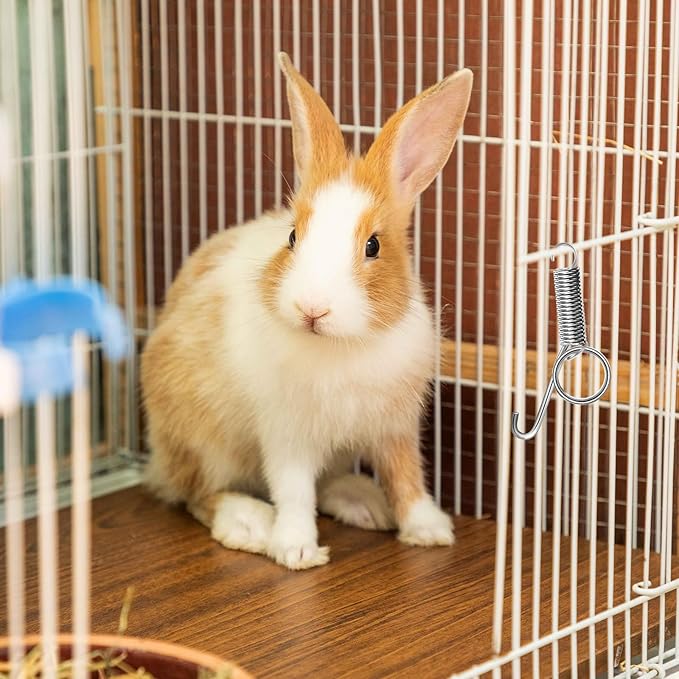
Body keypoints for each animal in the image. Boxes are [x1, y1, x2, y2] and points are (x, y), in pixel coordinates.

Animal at [141, 52, 473, 570]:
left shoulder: (393, 428)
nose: (312, 308)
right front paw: (296, 550)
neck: (342, 344)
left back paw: (365, 503)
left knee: (328, 482)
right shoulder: (287, 434)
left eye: (373, 246)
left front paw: (430, 532)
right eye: (293, 237)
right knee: (198, 494)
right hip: (202, 441)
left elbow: (406, 476)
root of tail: (157, 458)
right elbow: (293, 491)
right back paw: (250, 522)